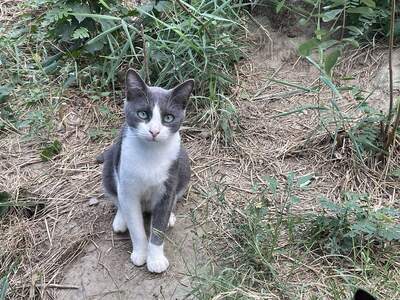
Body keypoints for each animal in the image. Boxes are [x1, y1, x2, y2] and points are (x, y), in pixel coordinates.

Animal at [101, 69, 193, 274]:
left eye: (168, 118)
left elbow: (158, 228)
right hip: (110, 163)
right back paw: (121, 220)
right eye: (143, 114)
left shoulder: (167, 187)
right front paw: (140, 254)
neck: (151, 154)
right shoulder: (128, 188)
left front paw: (156, 259)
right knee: (117, 198)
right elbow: (136, 226)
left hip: (184, 164)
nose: (154, 131)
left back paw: (170, 216)